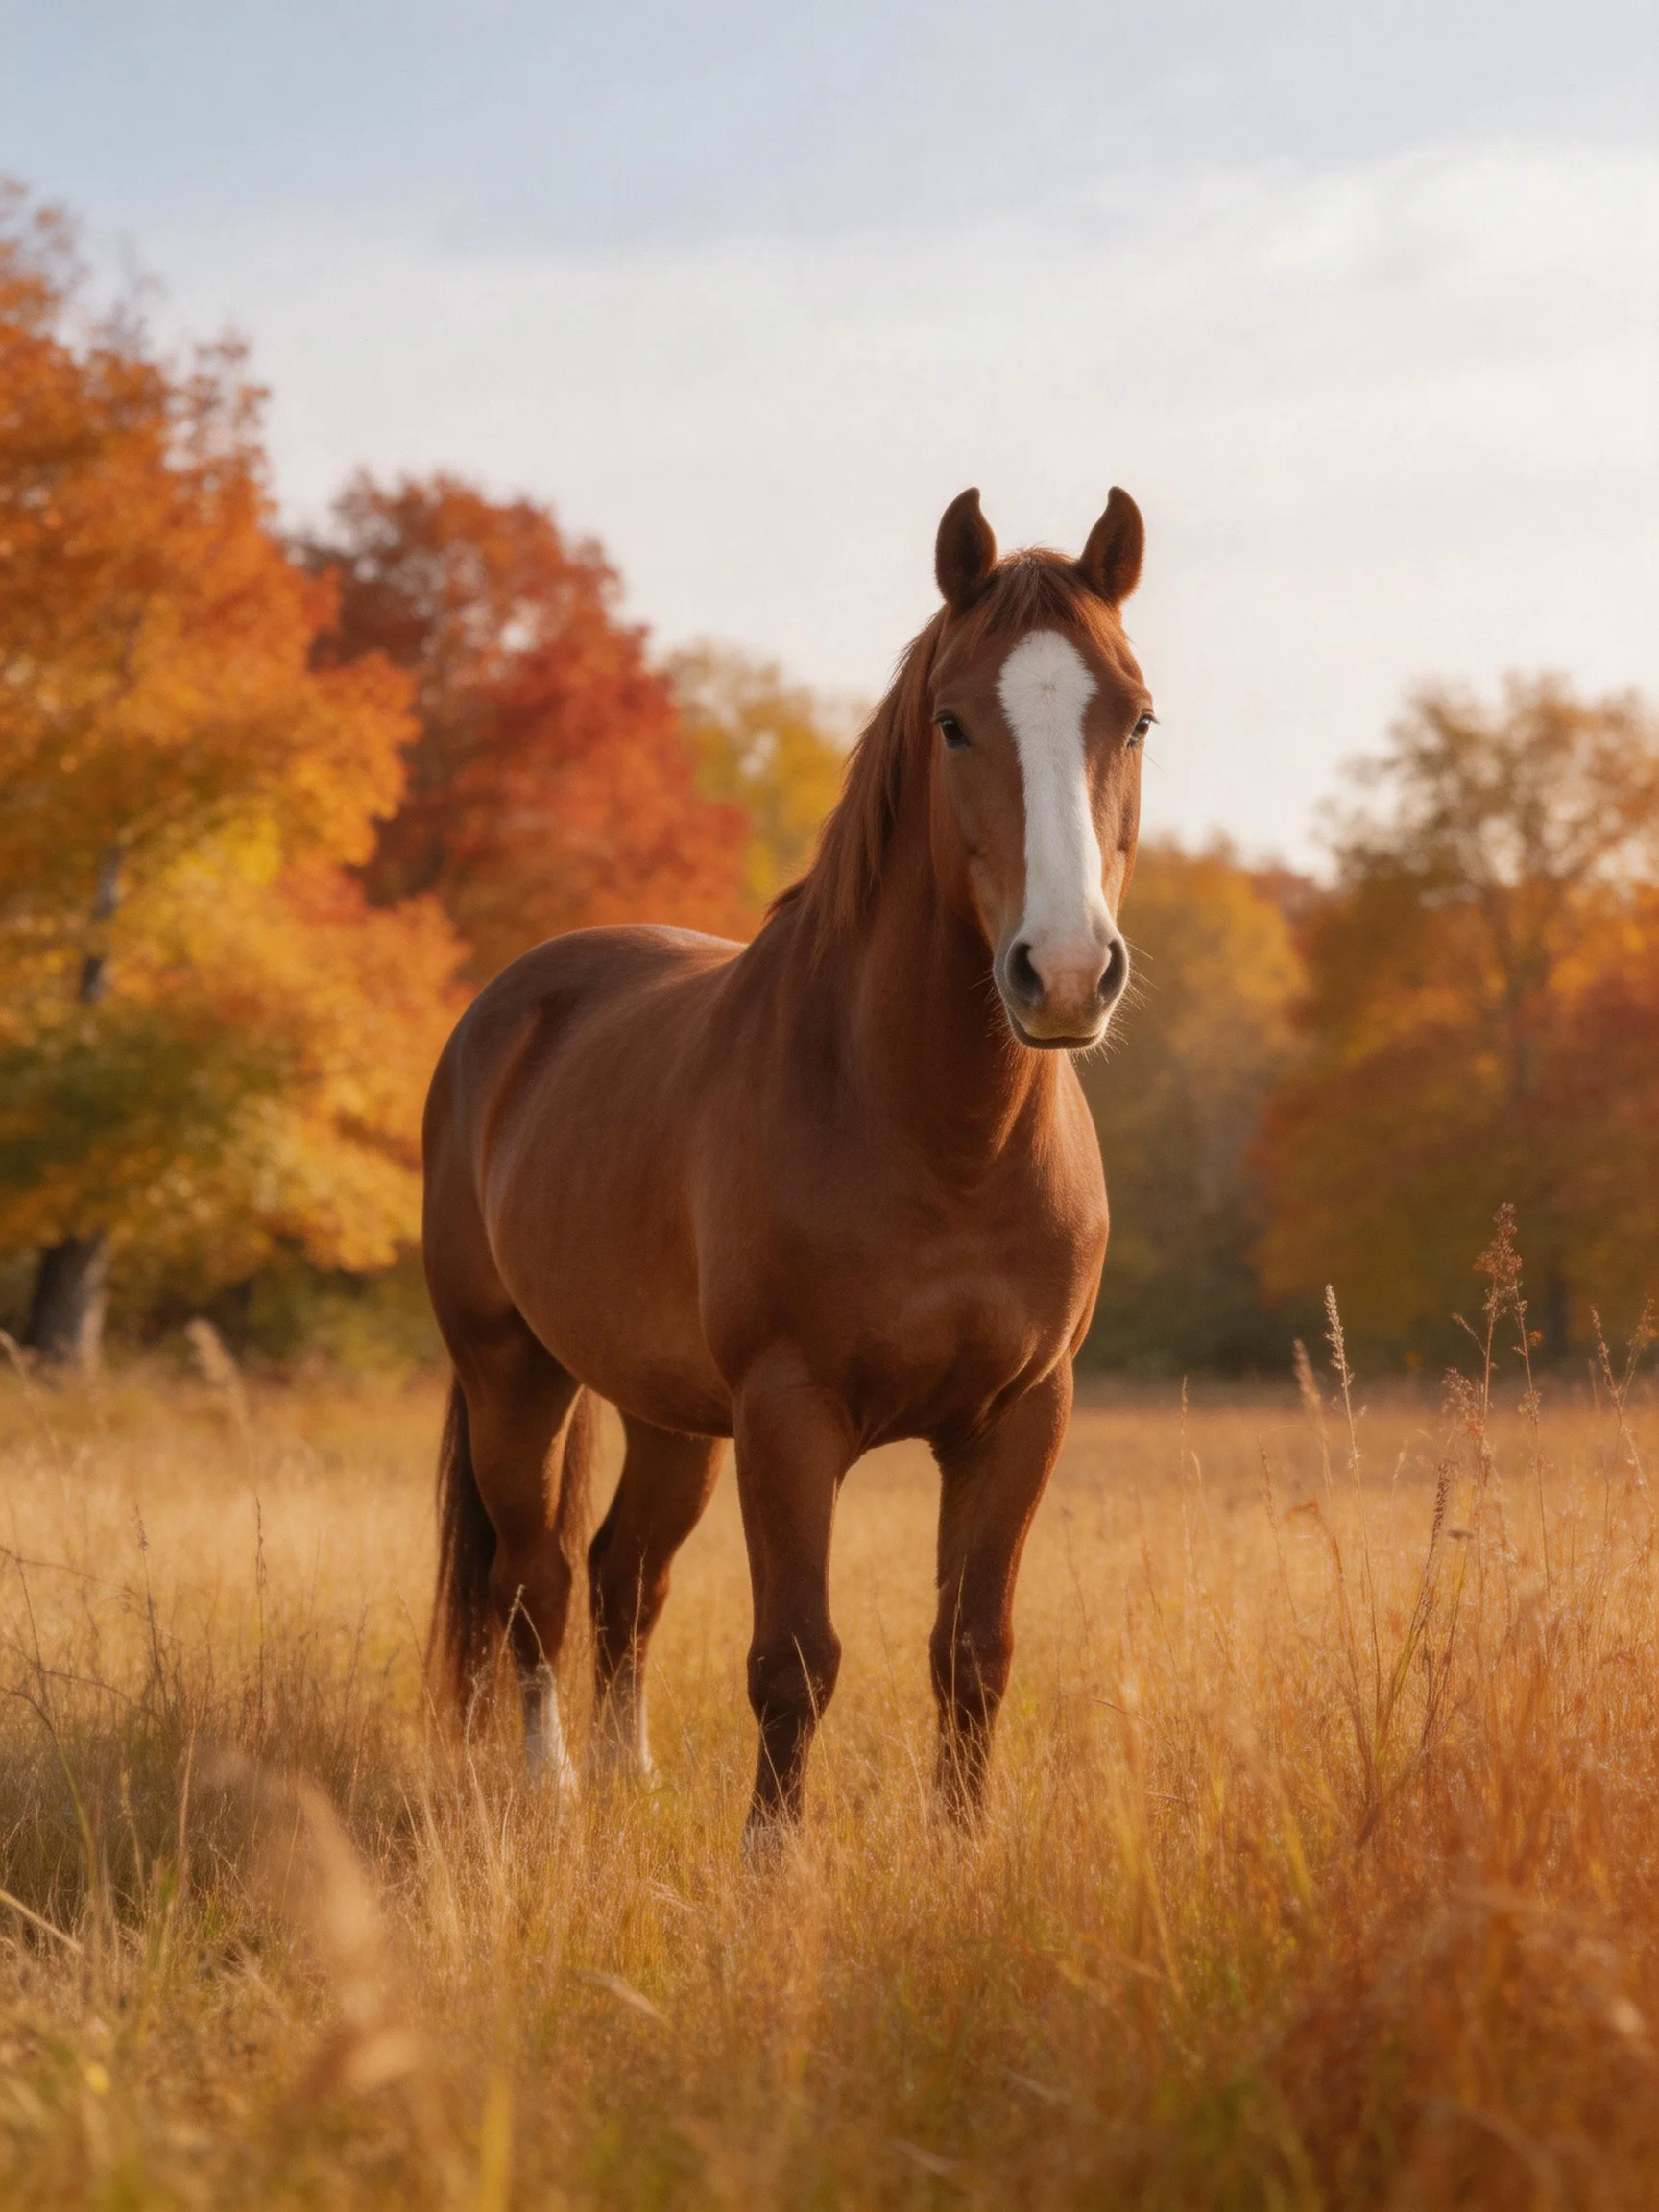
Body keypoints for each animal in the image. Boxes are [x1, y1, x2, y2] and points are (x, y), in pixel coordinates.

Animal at [422, 484, 1154, 1841]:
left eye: (1134, 716)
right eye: (953, 721)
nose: (1068, 972)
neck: (942, 1138)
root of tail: (507, 1008)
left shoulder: (1022, 1416)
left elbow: (972, 1649)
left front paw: (962, 1850)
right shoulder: (789, 1415)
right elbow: (796, 1659)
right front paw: (774, 1860)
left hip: (668, 1413)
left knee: (625, 1571)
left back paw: (630, 1777)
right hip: (514, 1375)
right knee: (534, 1578)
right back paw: (556, 1791)